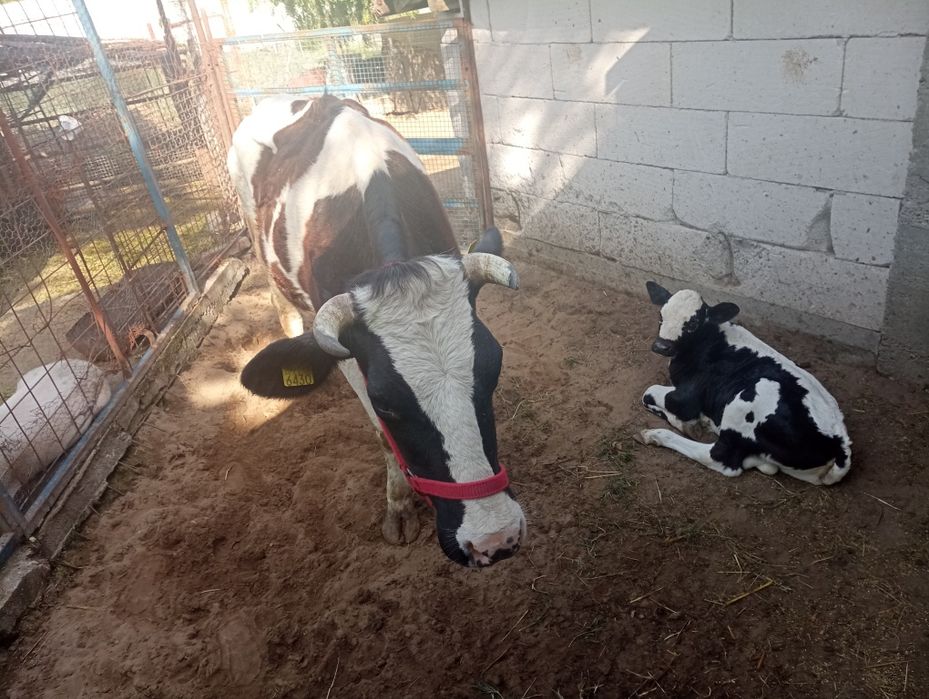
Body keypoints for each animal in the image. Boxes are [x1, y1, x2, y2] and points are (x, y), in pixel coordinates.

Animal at [226, 94, 525, 567]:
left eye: (492, 370)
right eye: (386, 403)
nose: (493, 538)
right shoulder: (352, 357)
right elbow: (384, 439)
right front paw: (399, 507)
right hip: (256, 237)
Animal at [638, 281, 852, 486]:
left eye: (693, 323)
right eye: (661, 316)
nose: (661, 346)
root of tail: (840, 444)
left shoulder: (686, 398)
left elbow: (648, 393)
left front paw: (688, 423)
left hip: (750, 398)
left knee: (720, 459)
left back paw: (656, 435)